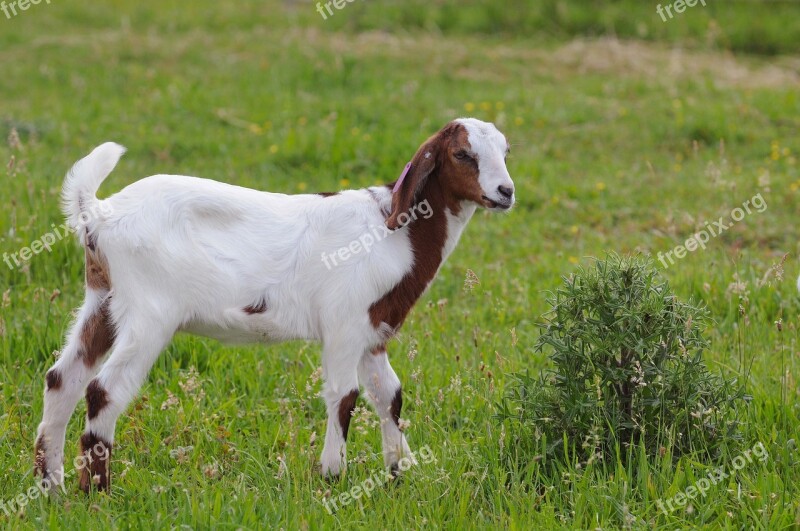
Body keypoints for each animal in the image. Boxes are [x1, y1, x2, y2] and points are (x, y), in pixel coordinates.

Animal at [34, 118, 516, 492]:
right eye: (462, 154)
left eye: (506, 150)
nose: (506, 191)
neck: (392, 230)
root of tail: (98, 213)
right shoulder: (344, 324)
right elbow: (344, 395)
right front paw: (332, 476)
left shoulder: (373, 331)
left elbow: (389, 395)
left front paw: (401, 471)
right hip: (149, 312)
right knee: (103, 389)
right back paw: (97, 491)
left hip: (103, 299)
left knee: (62, 378)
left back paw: (52, 487)